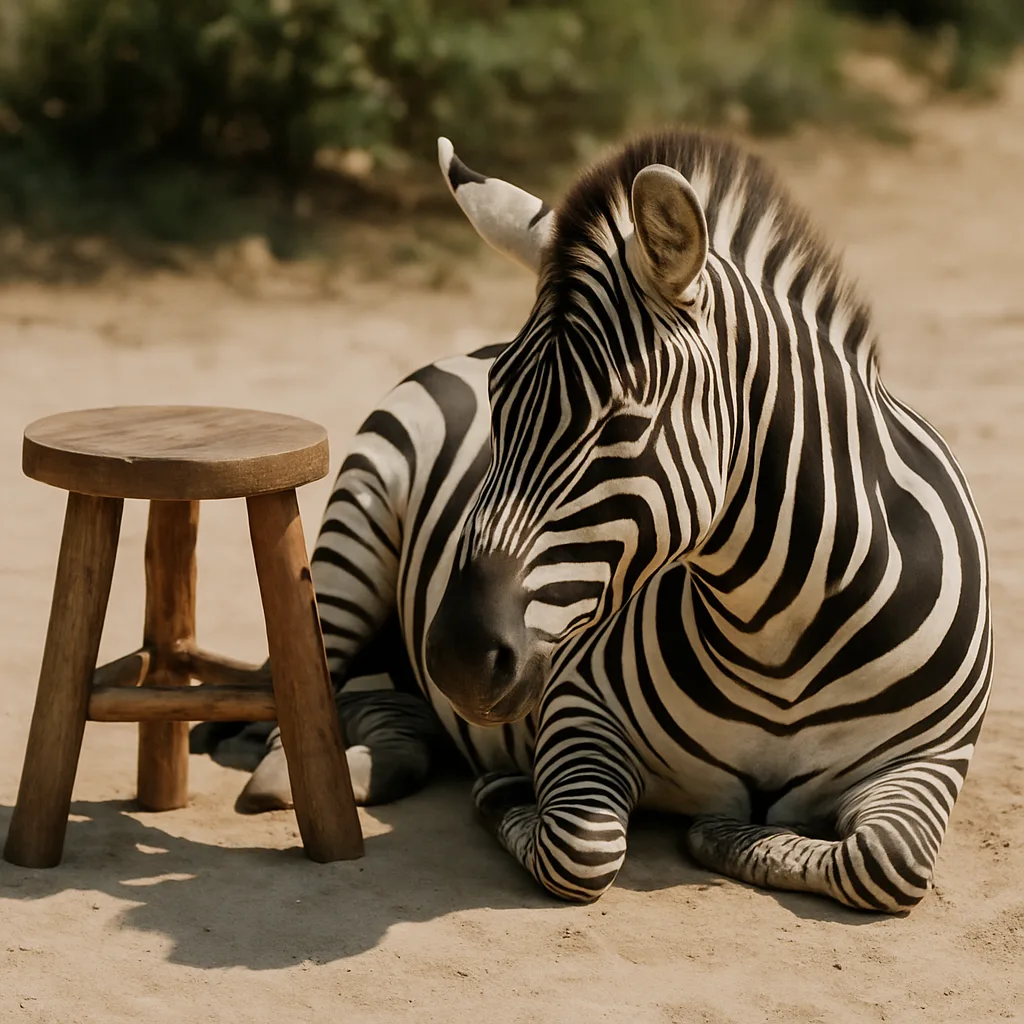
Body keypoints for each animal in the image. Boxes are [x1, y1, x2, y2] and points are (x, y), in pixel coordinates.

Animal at [196, 128, 992, 914]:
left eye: (623, 425)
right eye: (496, 405)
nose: (457, 658)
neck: (779, 639)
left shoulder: (930, 758)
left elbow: (887, 859)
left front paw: (732, 838)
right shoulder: (578, 710)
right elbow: (580, 847)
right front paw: (510, 796)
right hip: (352, 533)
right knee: (313, 686)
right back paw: (290, 772)